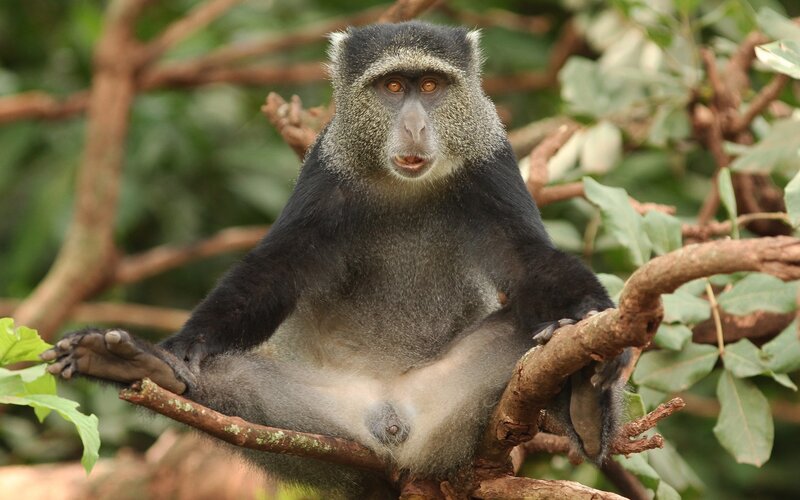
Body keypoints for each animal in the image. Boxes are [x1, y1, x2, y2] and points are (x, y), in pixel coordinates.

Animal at [42, 21, 631, 498]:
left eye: (431, 86)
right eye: (392, 87)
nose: (415, 126)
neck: (404, 187)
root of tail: (396, 428)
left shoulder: (491, 163)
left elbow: (528, 260)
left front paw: (594, 318)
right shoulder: (326, 172)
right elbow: (277, 270)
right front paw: (182, 345)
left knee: (530, 337)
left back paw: (583, 394)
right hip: (322, 427)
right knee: (228, 383)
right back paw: (140, 366)